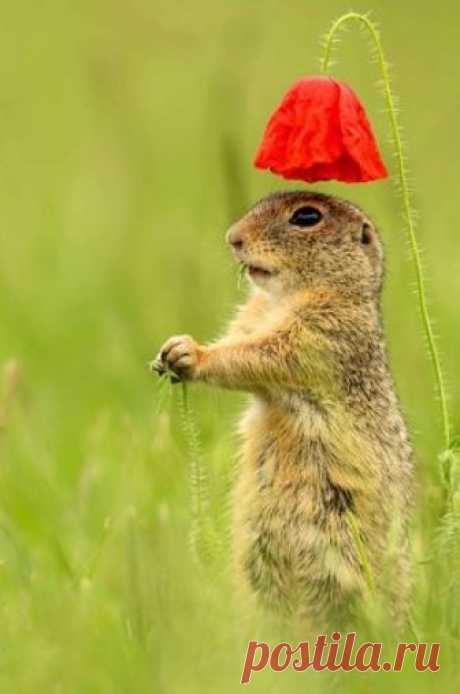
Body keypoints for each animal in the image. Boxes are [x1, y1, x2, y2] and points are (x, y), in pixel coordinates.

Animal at [154, 192, 414, 632]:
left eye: (306, 217)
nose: (233, 238)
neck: (284, 297)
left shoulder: (323, 333)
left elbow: (257, 354)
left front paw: (192, 354)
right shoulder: (251, 315)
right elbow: (240, 338)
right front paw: (170, 349)